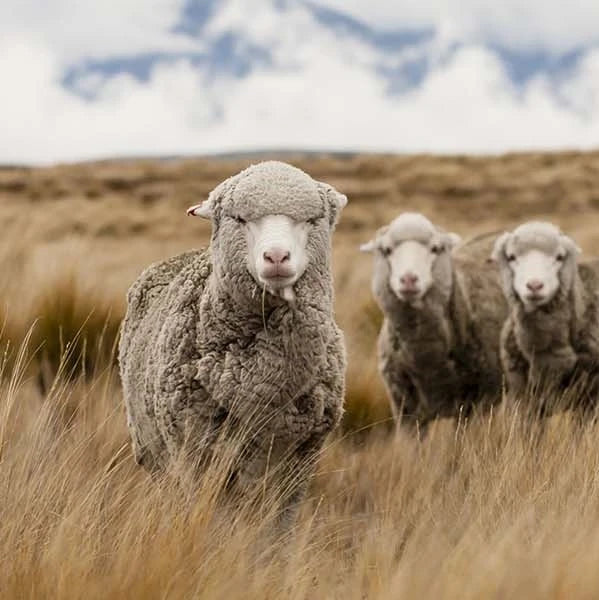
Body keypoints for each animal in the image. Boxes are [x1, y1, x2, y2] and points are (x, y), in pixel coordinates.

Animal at [118, 162, 350, 524]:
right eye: (239, 219)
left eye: (313, 219)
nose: (276, 256)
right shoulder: (198, 456)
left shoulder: (300, 462)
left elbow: (277, 528)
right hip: (158, 456)